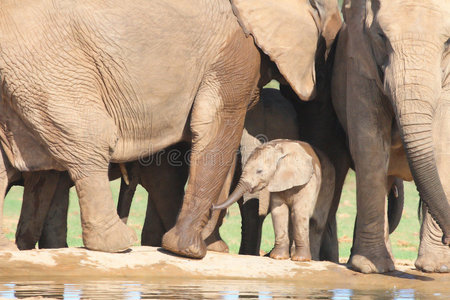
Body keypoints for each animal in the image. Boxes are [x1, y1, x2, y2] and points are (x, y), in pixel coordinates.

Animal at [0, 0, 342, 258]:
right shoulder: (234, 48)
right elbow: (216, 124)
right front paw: (189, 250)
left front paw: (208, 247)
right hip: (50, 65)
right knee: (88, 137)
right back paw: (118, 244)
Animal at [330, 0, 450, 272]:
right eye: (381, 36)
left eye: (448, 43)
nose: (448, 238)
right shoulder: (360, 62)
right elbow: (370, 146)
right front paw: (369, 267)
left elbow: (443, 145)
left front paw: (437, 268)